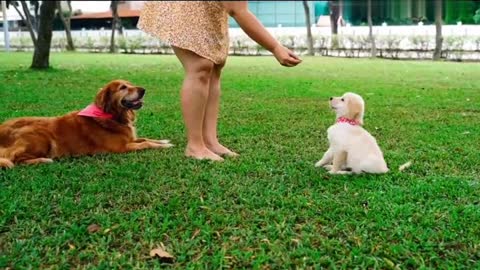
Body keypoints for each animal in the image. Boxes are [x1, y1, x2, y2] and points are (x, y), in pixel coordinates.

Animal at [0, 79, 172, 169]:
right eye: (123, 87)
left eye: (130, 84)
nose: (143, 90)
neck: (113, 116)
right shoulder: (121, 147)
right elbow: (145, 143)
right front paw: (164, 146)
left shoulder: (129, 139)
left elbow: (145, 138)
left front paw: (164, 141)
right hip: (41, 136)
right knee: (15, 159)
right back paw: (43, 160)